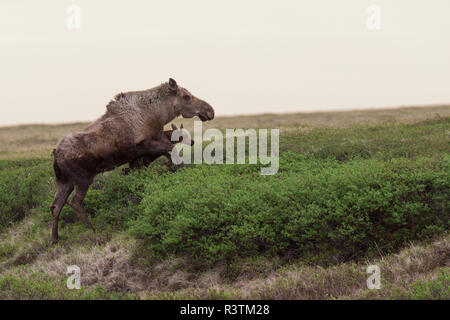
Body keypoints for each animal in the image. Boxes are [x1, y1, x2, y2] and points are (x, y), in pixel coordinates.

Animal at [49, 79, 214, 244]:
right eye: (186, 96)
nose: (210, 110)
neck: (159, 115)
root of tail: (55, 154)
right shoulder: (145, 145)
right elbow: (172, 150)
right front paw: (174, 169)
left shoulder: (135, 157)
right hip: (82, 179)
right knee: (74, 202)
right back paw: (92, 229)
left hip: (65, 181)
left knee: (55, 206)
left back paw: (55, 239)